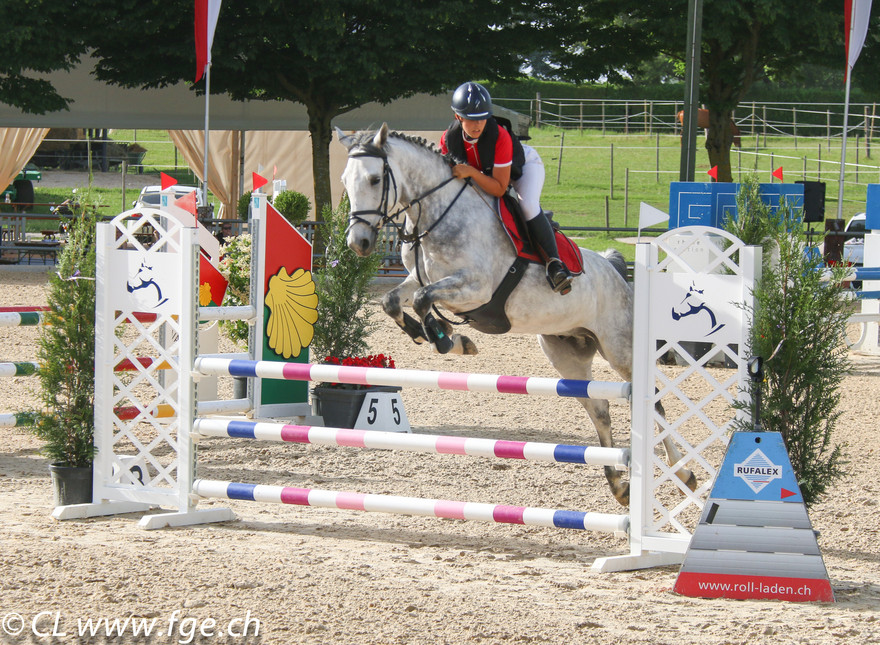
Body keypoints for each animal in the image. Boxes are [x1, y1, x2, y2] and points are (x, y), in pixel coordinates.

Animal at [337, 123, 696, 506]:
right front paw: (439, 336)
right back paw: (619, 485)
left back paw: (684, 475)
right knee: (599, 408)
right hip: (566, 354)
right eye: (345, 180)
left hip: (619, 348)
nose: (358, 243)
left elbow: (422, 300)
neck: (436, 216)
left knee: (653, 402)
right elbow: (394, 301)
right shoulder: (419, 279)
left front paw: (446, 338)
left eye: (375, 179)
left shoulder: (476, 288)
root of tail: (615, 270)